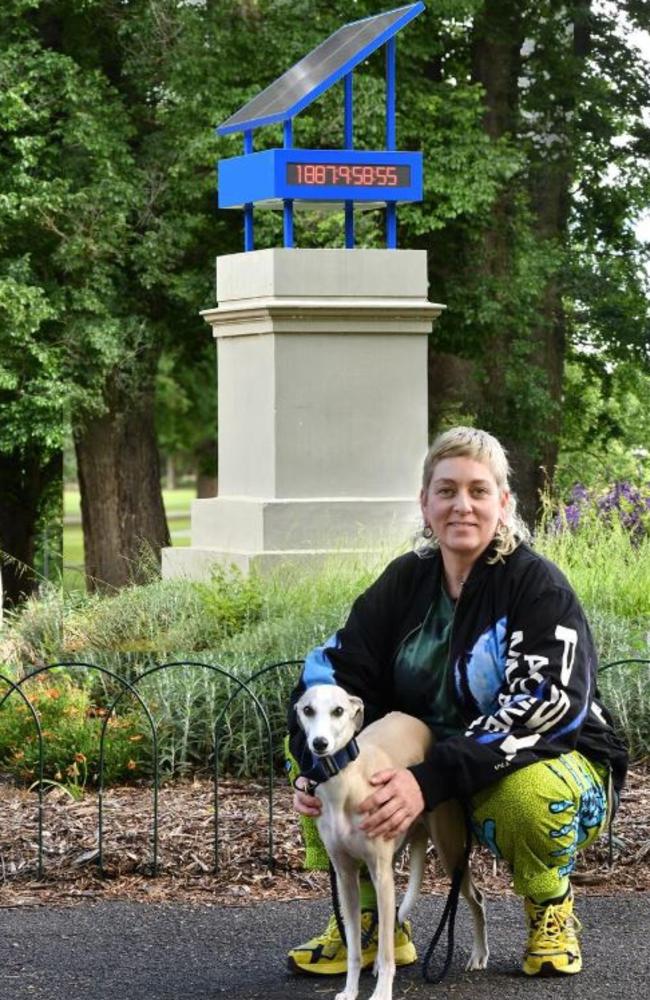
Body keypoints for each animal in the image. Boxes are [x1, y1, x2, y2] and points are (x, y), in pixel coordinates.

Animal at [294, 684, 486, 1000]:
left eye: (338, 710)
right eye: (307, 710)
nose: (319, 744)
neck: (347, 781)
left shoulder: (382, 876)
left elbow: (385, 951)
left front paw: (382, 992)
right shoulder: (345, 876)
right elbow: (354, 948)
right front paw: (350, 990)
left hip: (448, 850)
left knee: (476, 899)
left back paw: (480, 954)